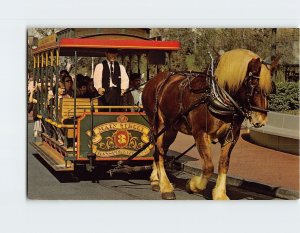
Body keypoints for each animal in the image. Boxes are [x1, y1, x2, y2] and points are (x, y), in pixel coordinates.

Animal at [142, 49, 278, 200]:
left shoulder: (231, 136)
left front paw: (220, 194)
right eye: (254, 87)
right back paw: (165, 187)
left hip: (171, 128)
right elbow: (208, 167)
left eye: (271, 89)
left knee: (161, 150)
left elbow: (223, 164)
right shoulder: (201, 134)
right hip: (158, 123)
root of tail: (153, 80)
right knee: (159, 150)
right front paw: (192, 185)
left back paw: (156, 180)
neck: (216, 96)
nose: (261, 120)